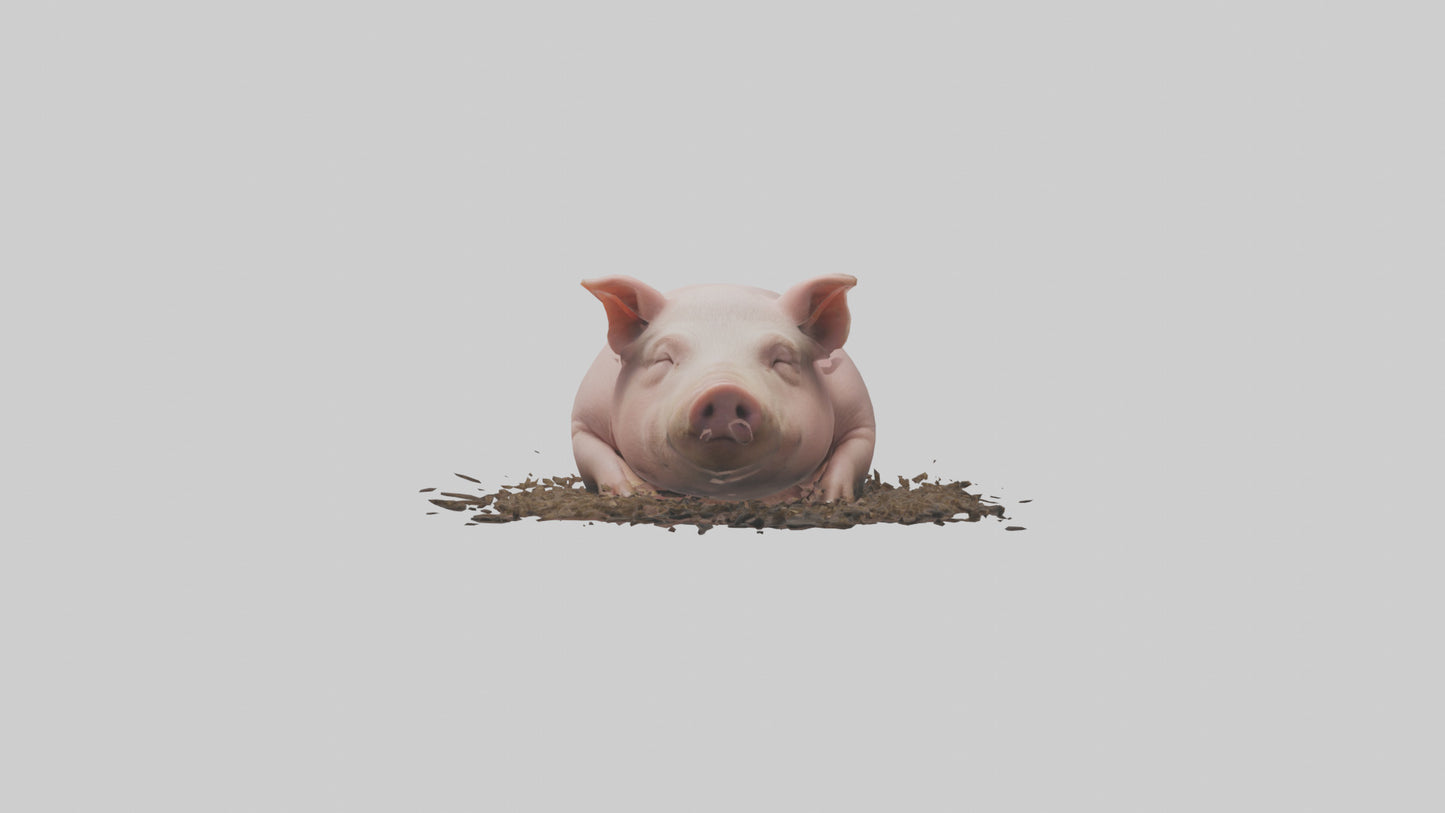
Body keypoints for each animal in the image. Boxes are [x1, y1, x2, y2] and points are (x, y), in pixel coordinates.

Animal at [571, 274, 876, 502]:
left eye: (781, 359)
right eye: (665, 358)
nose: (724, 392)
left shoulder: (862, 416)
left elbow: (855, 447)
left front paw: (827, 498)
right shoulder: (582, 419)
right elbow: (592, 449)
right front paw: (632, 493)